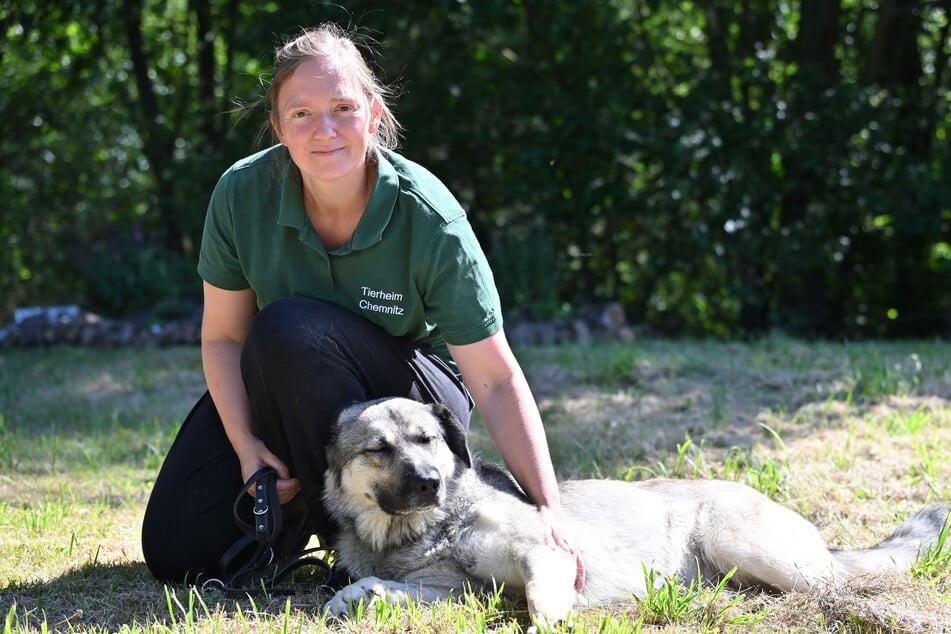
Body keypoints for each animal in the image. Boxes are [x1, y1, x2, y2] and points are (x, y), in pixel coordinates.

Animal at [322, 398, 951, 624]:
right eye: (379, 449)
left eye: (426, 440)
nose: (430, 483)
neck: (423, 531)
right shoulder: (454, 592)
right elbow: (369, 586)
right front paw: (348, 599)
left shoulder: (544, 556)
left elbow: (545, 604)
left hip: (742, 543)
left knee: (835, 585)